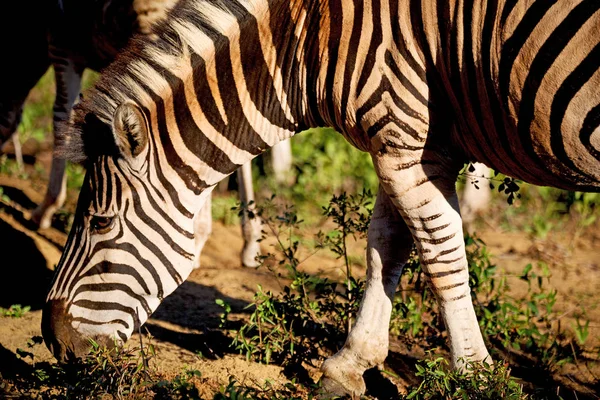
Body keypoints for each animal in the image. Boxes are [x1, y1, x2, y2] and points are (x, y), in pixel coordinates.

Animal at [42, 0, 600, 396]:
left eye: (99, 223)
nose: (52, 340)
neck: (316, 37)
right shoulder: (403, 142)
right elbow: (386, 248)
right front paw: (350, 364)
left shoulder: (405, 135)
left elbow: (440, 256)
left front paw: (474, 375)